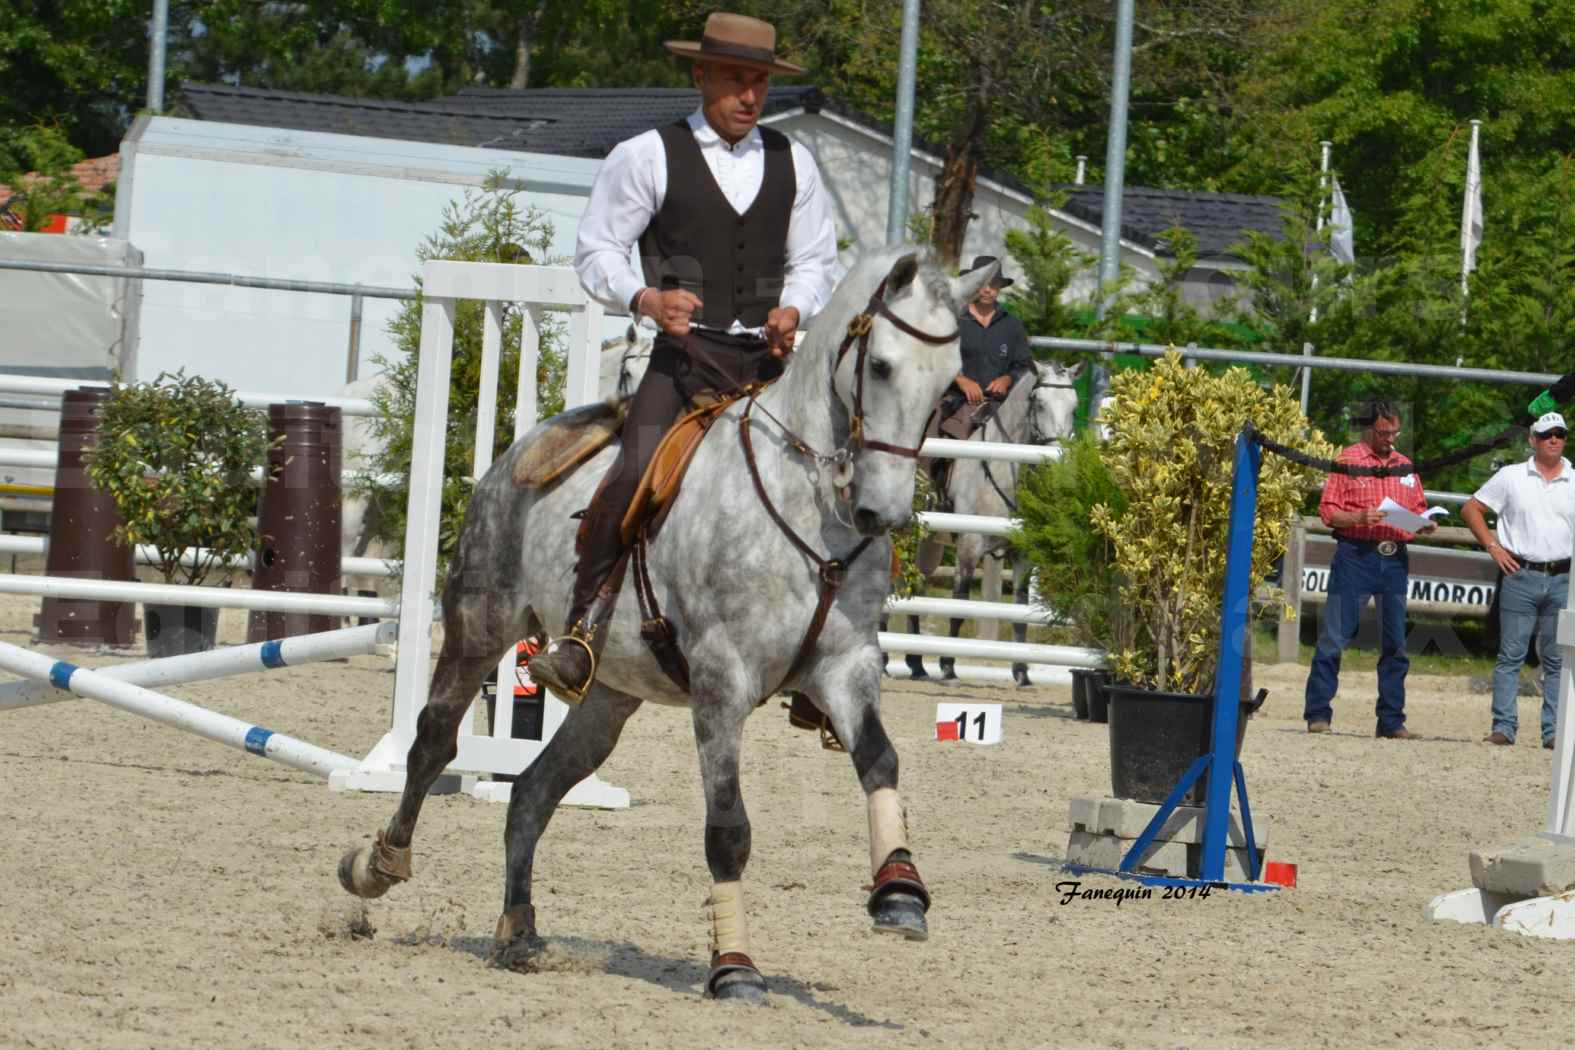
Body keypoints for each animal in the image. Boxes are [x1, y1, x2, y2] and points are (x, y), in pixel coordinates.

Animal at [338, 247, 995, 1001]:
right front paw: (733, 966)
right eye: (880, 366)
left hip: (609, 697)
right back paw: (379, 865)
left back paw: (519, 930)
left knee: (532, 790)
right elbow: (728, 831)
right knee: (433, 744)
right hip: (481, 627)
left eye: (947, 386)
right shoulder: (721, 684)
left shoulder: (845, 666)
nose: (880, 515)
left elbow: (881, 761)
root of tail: (522, 451)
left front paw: (899, 893)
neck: (807, 509)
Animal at [900, 362, 1083, 689]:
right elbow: (959, 606)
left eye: (1074, 406)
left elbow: (1021, 613)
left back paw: (916, 663)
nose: (1056, 462)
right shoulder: (969, 548)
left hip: (929, 543)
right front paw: (948, 666)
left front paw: (1021, 672)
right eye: (1039, 403)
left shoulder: (1023, 557)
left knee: (914, 587)